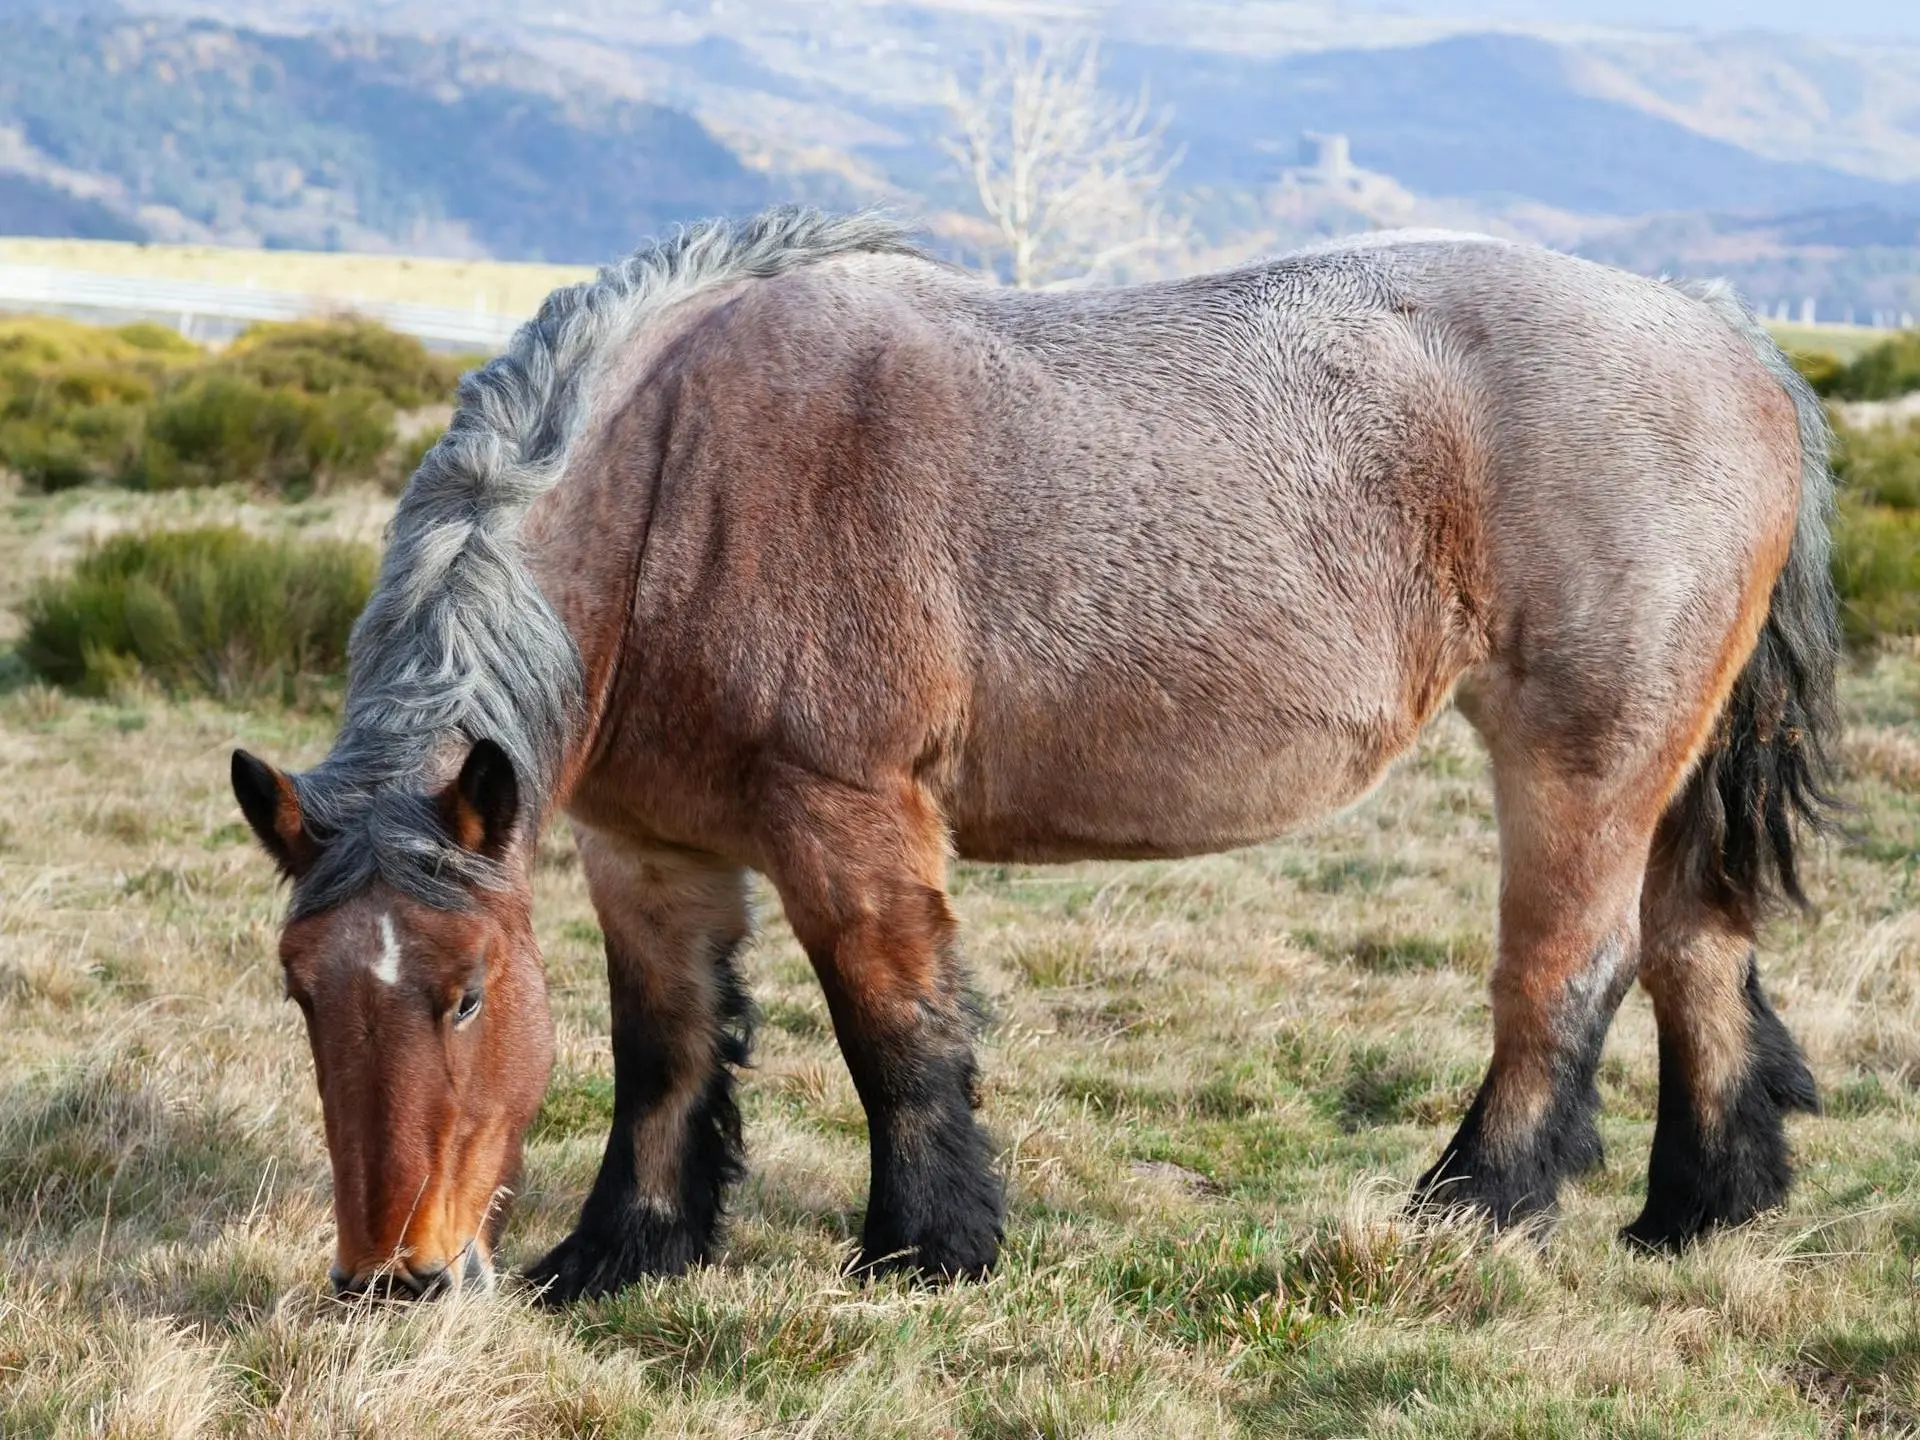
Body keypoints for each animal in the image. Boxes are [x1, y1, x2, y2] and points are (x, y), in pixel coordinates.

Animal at [232, 205, 1835, 1305]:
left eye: (465, 994)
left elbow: (897, 1033)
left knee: (1570, 969)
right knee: (1697, 946)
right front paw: (623, 1253)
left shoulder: (846, 821)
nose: (394, 1278)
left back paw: (1475, 1206)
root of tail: (1733, 339)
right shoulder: (648, 851)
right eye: (302, 993)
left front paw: (923, 1249)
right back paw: (1699, 1210)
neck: (675, 488)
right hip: (1664, 769)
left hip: (1578, 762)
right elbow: (665, 1049)